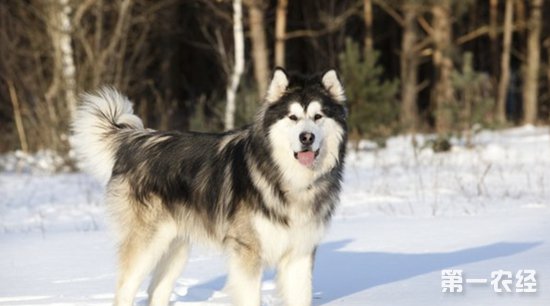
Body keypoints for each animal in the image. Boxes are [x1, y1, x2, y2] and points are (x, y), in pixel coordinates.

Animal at [71, 68, 350, 304]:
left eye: (318, 117)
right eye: (293, 117)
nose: (307, 137)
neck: (289, 179)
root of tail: (135, 140)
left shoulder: (300, 256)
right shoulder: (247, 253)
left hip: (176, 247)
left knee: (156, 291)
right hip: (146, 244)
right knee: (125, 290)